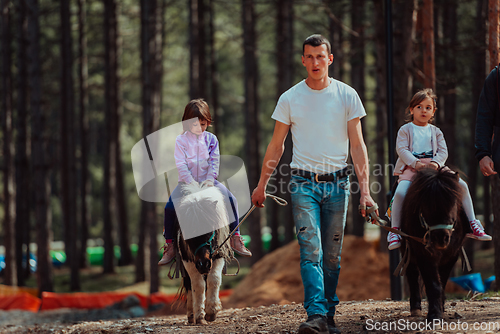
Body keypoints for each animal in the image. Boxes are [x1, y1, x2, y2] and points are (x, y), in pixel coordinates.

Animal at [400, 168, 470, 320]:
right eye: (426, 204)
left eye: (453, 203)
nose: (440, 238)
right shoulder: (423, 255)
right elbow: (433, 285)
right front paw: (434, 314)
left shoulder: (452, 255)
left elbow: (442, 282)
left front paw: (440, 308)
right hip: (406, 251)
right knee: (412, 274)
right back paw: (415, 308)